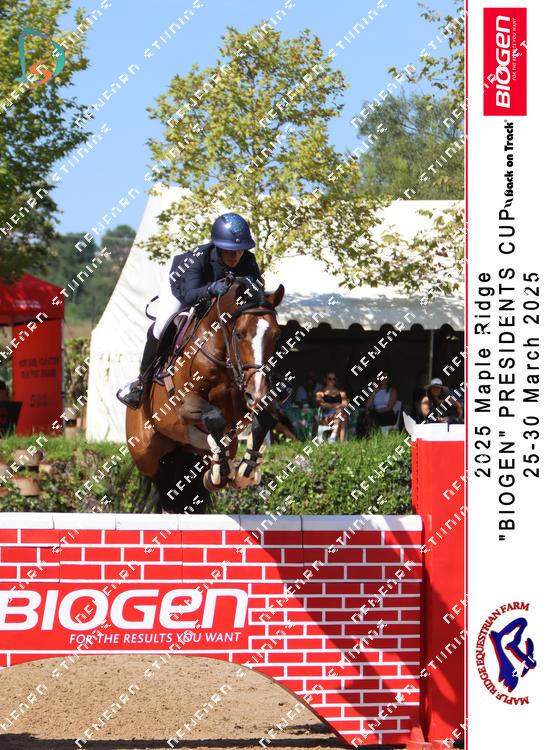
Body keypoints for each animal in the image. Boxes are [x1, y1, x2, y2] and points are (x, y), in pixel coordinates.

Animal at [126, 277, 286, 513]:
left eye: (276, 335)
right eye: (239, 333)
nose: (257, 393)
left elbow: (264, 419)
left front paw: (246, 470)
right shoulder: (184, 405)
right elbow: (214, 417)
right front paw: (222, 471)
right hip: (147, 455)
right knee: (163, 486)